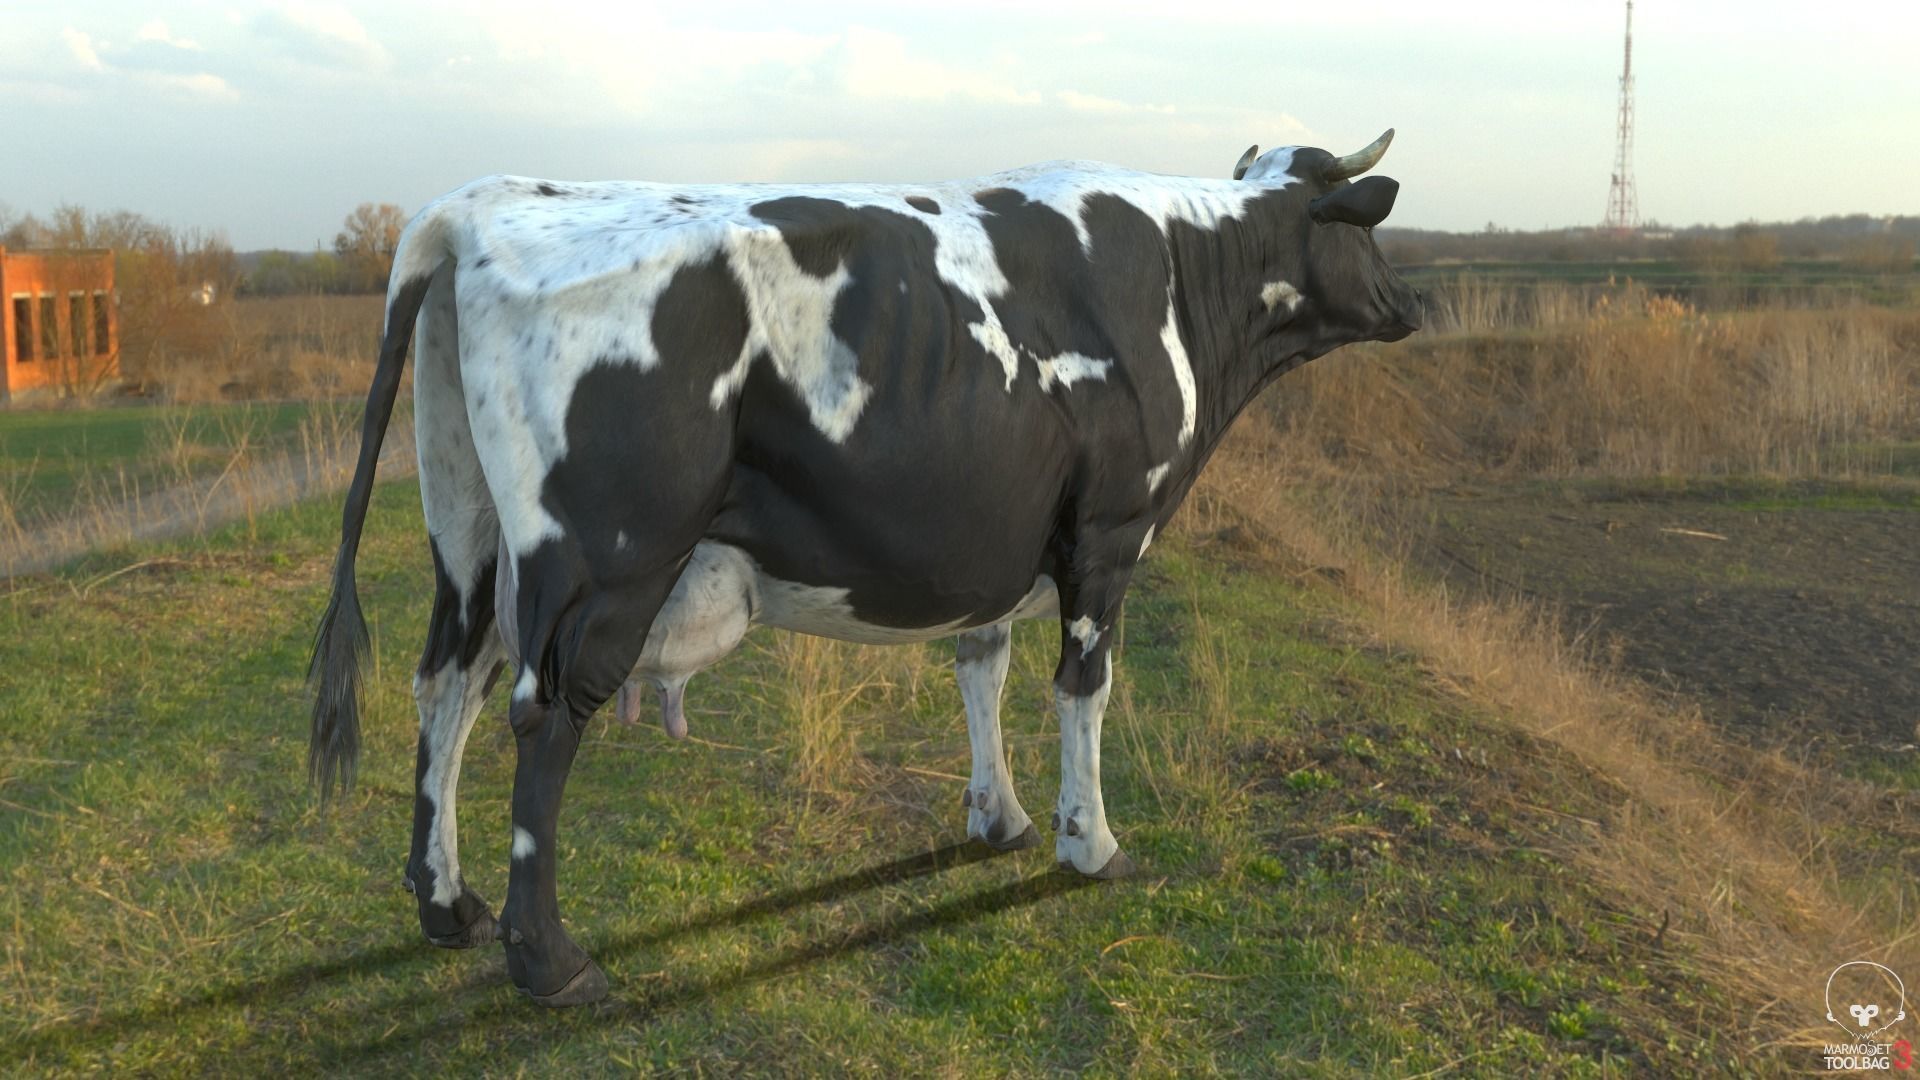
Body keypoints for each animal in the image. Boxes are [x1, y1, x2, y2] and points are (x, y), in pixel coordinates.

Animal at [309, 129, 1421, 1007]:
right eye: (1365, 228)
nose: (1413, 302)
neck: (1184, 273)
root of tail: (470, 208)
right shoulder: (1108, 533)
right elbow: (1083, 690)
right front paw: (1090, 841)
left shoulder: (994, 533)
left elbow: (983, 667)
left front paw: (999, 816)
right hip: (604, 564)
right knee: (541, 719)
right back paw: (548, 962)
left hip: (470, 537)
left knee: (446, 685)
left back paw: (446, 904)